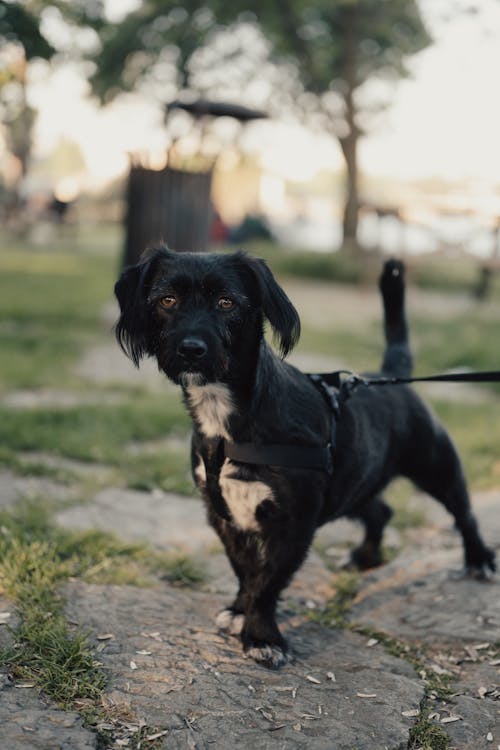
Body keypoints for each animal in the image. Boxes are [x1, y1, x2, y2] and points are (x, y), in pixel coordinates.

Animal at [114, 251, 496, 668]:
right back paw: (366, 557)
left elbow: (268, 581)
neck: (229, 420)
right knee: (381, 511)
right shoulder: (223, 515)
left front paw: (262, 636)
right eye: (166, 300)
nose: (191, 348)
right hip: (352, 483)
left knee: (464, 513)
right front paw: (239, 610)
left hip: (436, 466)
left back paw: (479, 559)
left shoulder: (294, 522)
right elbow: (245, 570)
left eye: (227, 302)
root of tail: (390, 375)